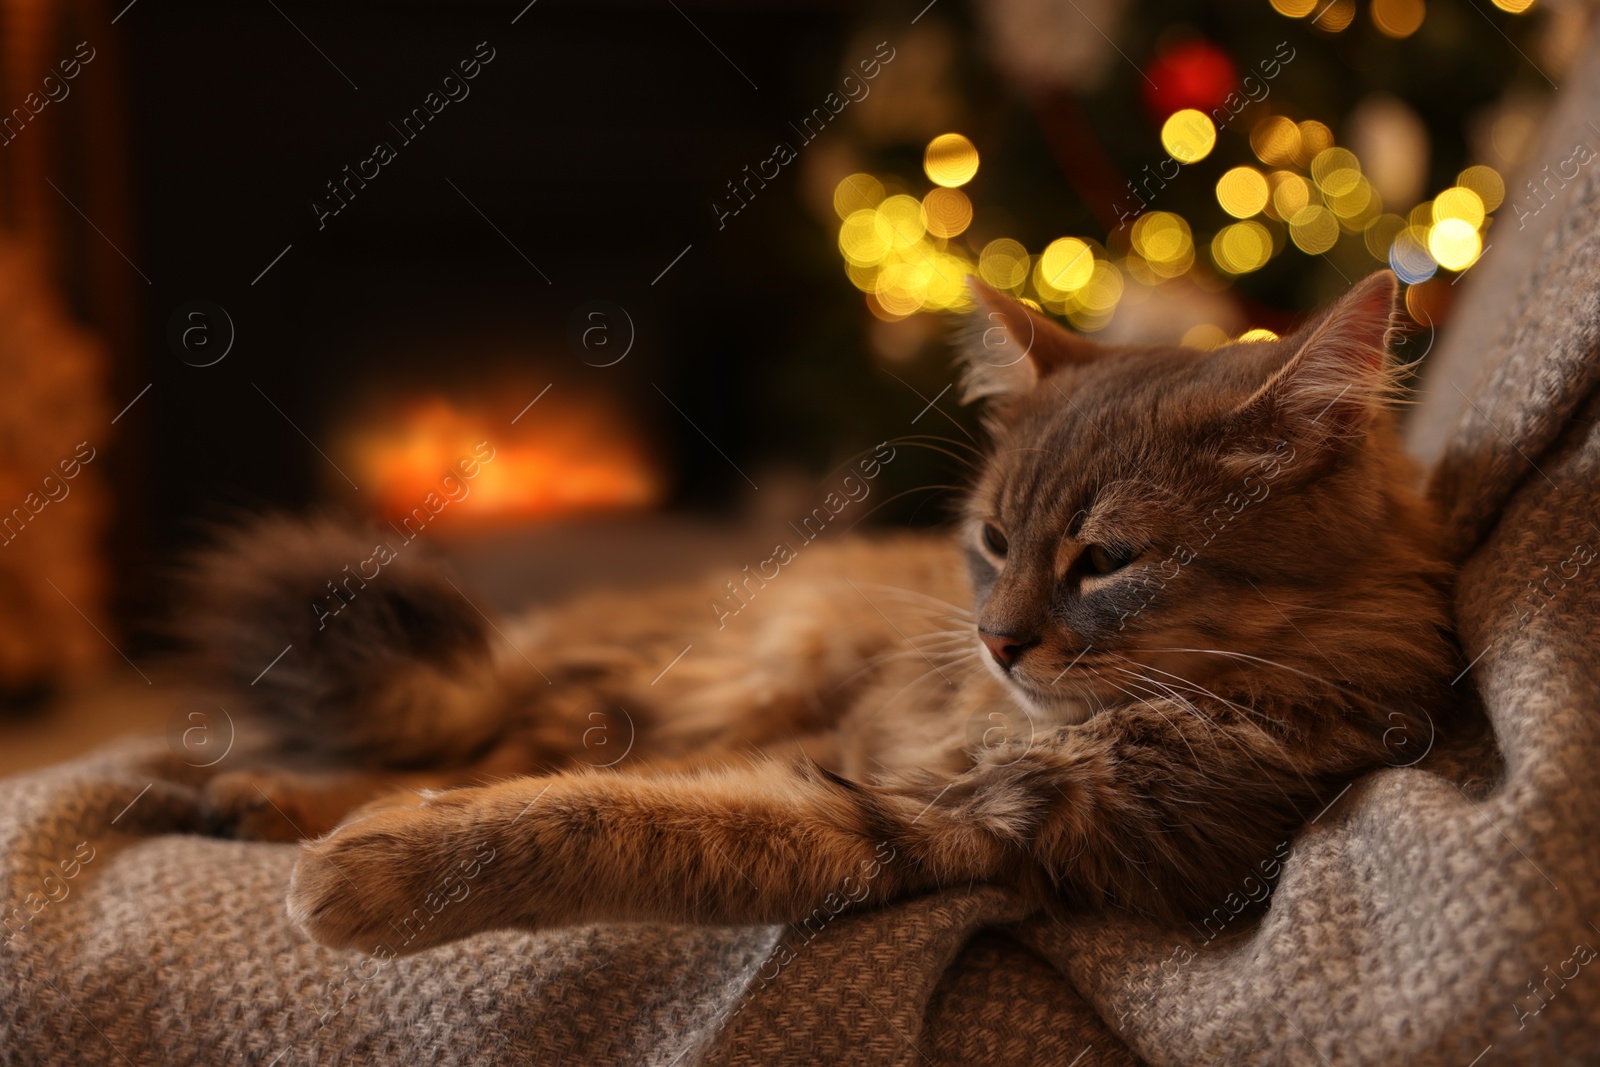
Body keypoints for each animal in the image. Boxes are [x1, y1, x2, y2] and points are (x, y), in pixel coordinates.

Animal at [181, 271, 1459, 953]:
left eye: (1106, 558)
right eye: (994, 541)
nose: (998, 639)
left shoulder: (930, 820)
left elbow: (618, 817)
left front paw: (380, 865)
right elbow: (573, 793)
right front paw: (364, 842)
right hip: (726, 672)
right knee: (486, 741)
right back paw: (259, 794)